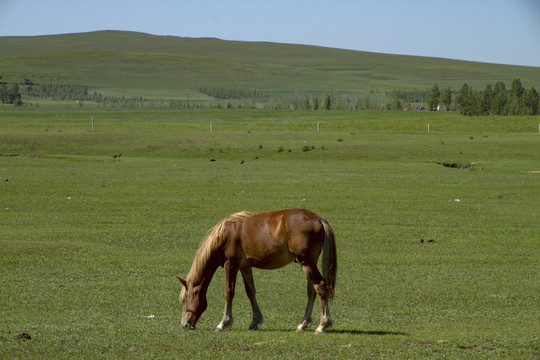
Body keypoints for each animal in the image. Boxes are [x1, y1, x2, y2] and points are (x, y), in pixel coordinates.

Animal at [177, 210, 338, 334]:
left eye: (184, 299)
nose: (185, 325)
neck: (224, 235)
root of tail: (318, 219)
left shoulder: (231, 265)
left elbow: (228, 292)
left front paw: (223, 323)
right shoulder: (245, 267)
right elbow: (250, 292)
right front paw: (255, 321)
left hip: (307, 263)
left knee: (321, 286)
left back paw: (322, 325)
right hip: (308, 263)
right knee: (311, 291)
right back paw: (303, 324)